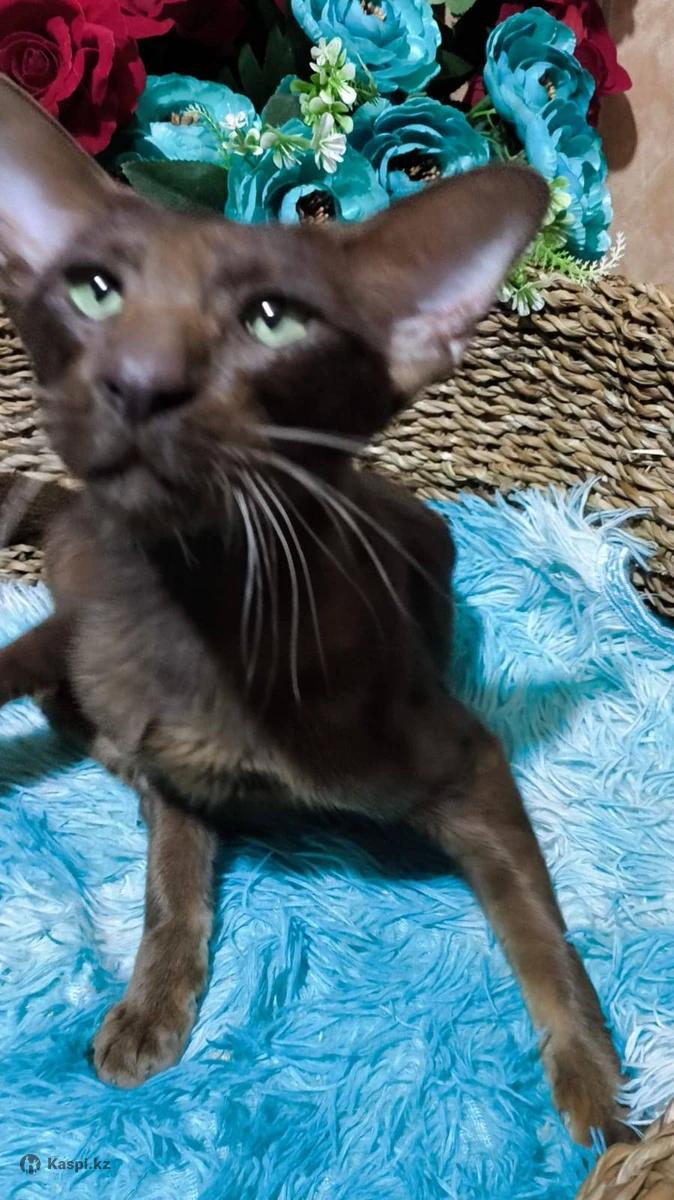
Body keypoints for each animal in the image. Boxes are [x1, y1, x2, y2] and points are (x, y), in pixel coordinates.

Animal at [0, 75, 629, 1146]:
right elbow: (171, 886)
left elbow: (540, 933)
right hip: (74, 610)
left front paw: (598, 1098)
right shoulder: (174, 773)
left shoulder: (470, 763)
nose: (138, 383)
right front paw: (149, 1010)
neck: (199, 607)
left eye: (273, 320)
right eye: (93, 290)